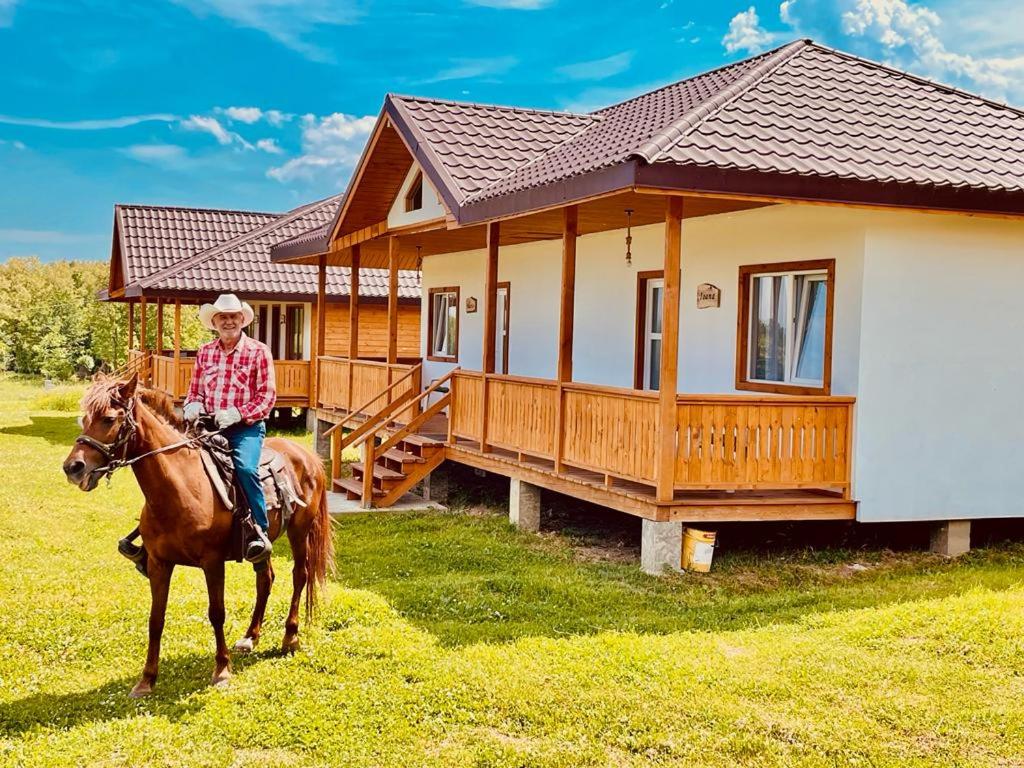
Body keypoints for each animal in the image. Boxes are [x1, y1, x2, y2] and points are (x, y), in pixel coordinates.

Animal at [61, 376, 331, 700]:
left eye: (109, 419)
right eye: (85, 418)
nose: (73, 468)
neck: (180, 488)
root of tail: (308, 457)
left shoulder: (212, 562)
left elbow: (217, 613)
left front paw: (222, 670)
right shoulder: (159, 564)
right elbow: (155, 619)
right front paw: (146, 679)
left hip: (299, 532)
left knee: (299, 575)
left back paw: (290, 638)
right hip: (261, 545)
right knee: (265, 579)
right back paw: (250, 637)